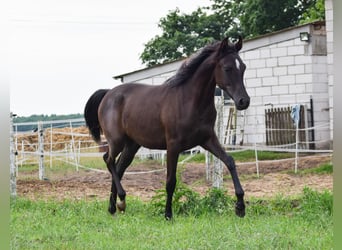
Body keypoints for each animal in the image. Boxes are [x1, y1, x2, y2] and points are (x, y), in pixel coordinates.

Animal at [85, 36, 251, 219]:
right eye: (227, 68)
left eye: (243, 67)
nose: (244, 101)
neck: (189, 101)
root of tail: (108, 93)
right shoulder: (173, 146)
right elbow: (171, 181)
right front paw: (168, 214)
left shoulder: (208, 139)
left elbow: (230, 161)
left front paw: (240, 207)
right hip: (117, 141)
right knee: (108, 160)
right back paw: (121, 199)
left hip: (132, 145)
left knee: (119, 167)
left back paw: (114, 207)